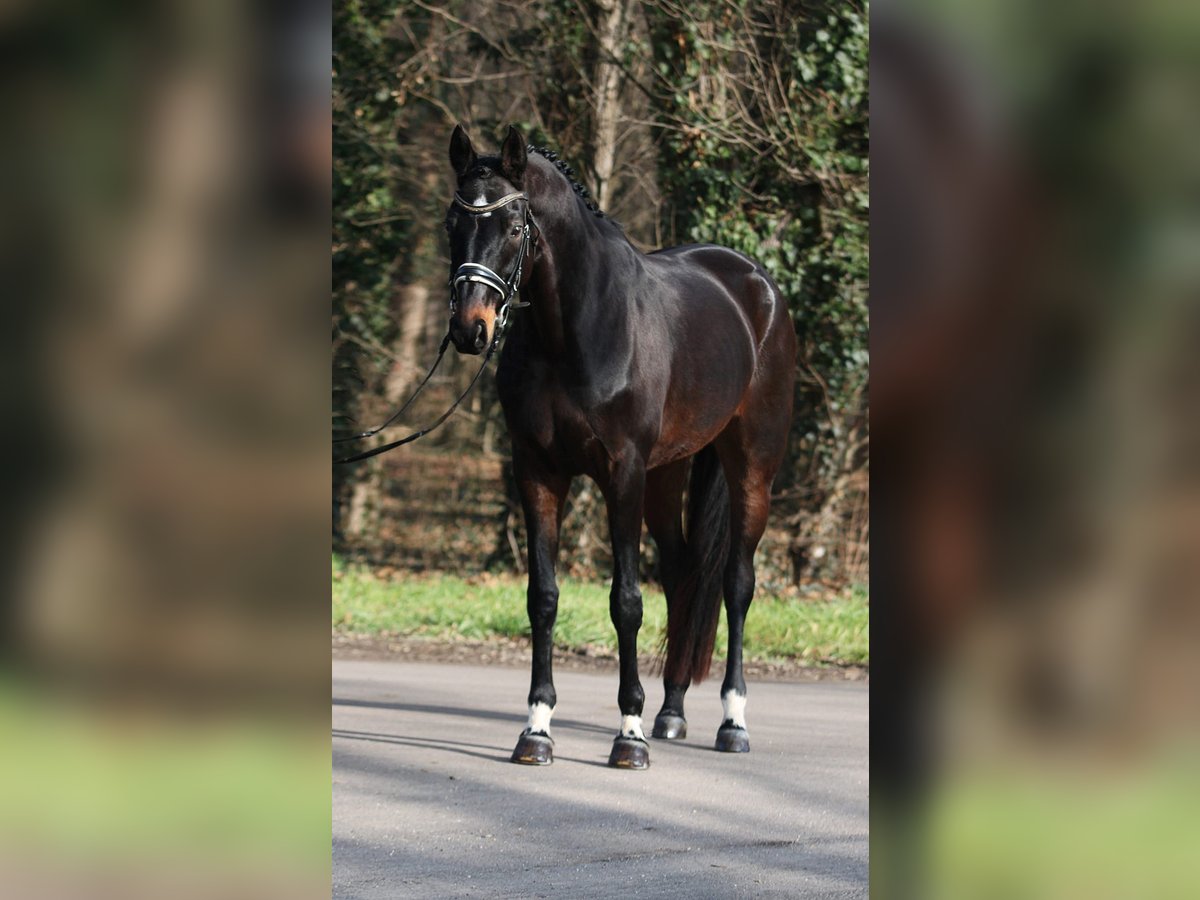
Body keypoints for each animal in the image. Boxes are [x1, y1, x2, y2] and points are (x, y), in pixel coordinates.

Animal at [444, 125, 796, 768]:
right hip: (668, 475)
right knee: (684, 575)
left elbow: (626, 601)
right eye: (452, 223)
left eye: (513, 227)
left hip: (751, 467)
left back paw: (731, 721)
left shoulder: (622, 473)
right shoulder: (537, 471)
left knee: (736, 583)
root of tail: (756, 286)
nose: (469, 328)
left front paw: (627, 735)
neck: (574, 330)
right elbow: (543, 597)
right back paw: (672, 712)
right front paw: (536, 729)